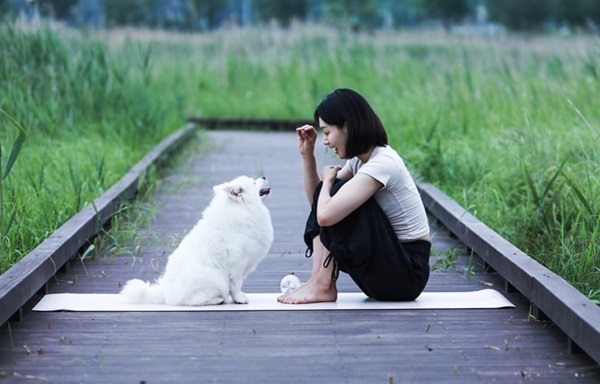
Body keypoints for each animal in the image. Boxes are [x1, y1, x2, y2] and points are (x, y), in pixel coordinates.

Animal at [120, 176, 274, 306]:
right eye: (253, 182)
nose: (264, 176)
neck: (242, 209)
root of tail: (165, 293)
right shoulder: (237, 264)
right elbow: (236, 285)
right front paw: (239, 298)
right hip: (215, 278)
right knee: (192, 300)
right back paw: (216, 300)